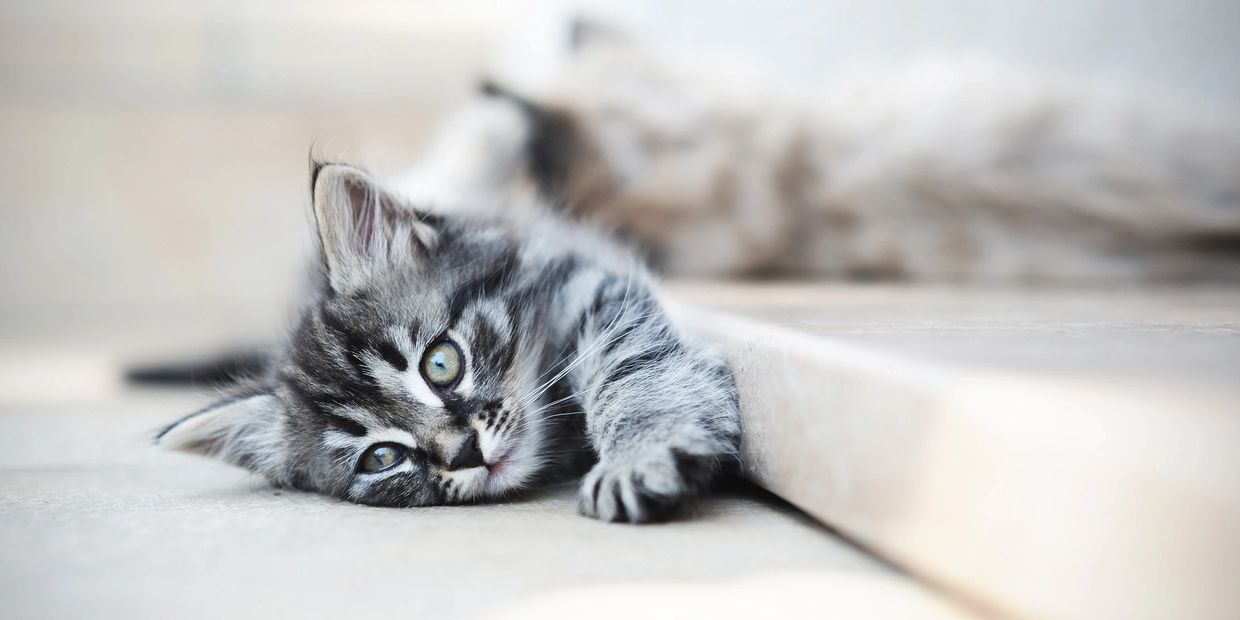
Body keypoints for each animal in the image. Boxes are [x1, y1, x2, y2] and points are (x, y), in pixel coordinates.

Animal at [153, 162, 734, 520]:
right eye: (381, 458)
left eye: (440, 364)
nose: (464, 452)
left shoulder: (593, 290)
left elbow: (630, 372)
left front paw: (639, 454)